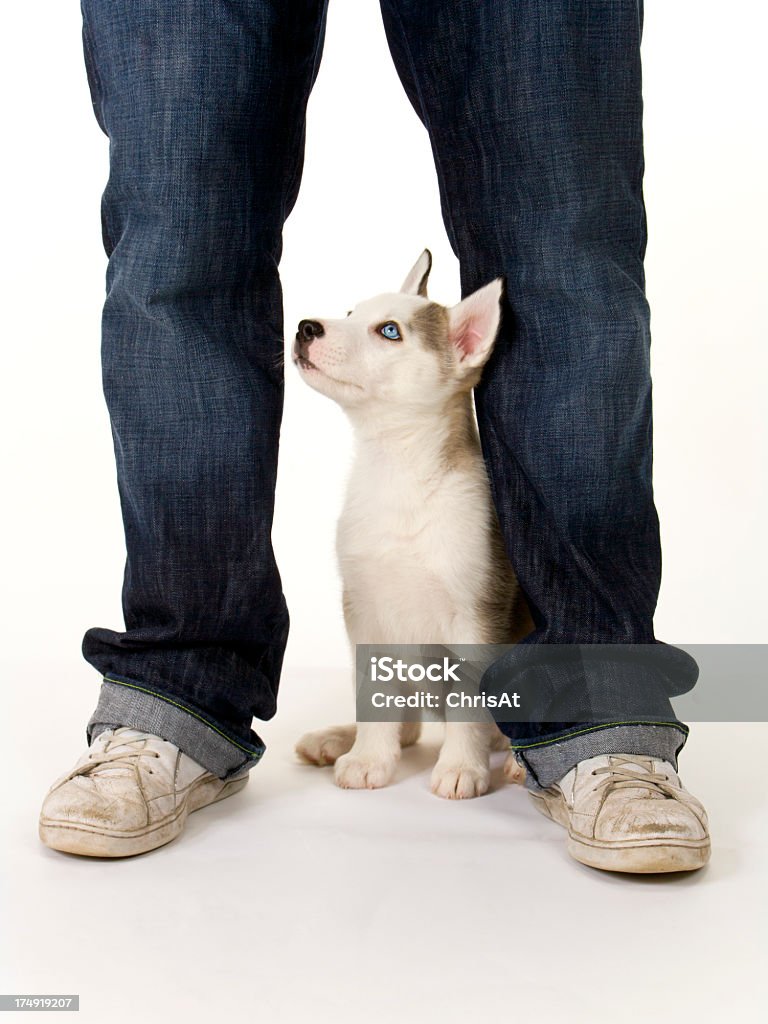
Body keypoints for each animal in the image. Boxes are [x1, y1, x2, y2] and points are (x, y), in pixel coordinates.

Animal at [290, 251, 532, 794]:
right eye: (351, 313)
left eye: (390, 332)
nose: (305, 327)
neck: (398, 469)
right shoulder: (363, 609)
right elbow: (370, 693)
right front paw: (368, 757)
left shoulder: (475, 614)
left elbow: (468, 703)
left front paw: (461, 768)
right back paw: (339, 738)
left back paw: (515, 760)